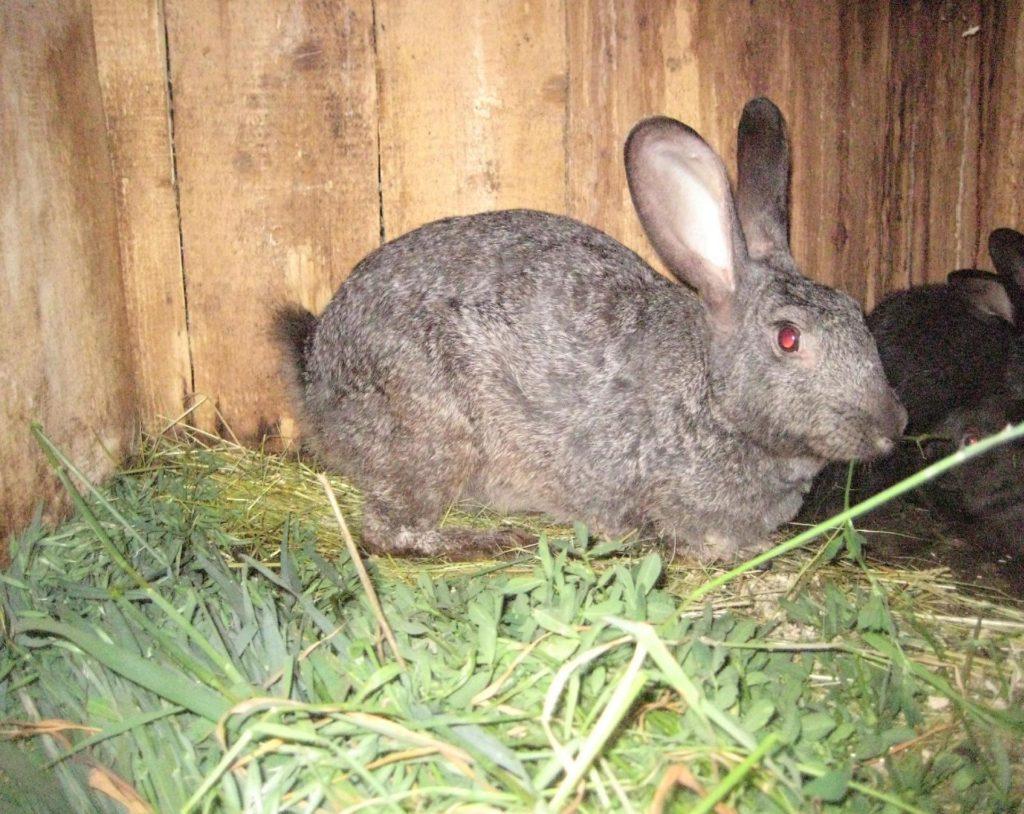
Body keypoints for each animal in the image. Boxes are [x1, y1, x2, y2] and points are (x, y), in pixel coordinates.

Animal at [273, 97, 905, 562]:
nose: (892, 424)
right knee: (389, 529)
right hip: (432, 431)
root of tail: (318, 369)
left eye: (856, 312)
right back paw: (483, 540)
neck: (711, 393)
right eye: (789, 338)